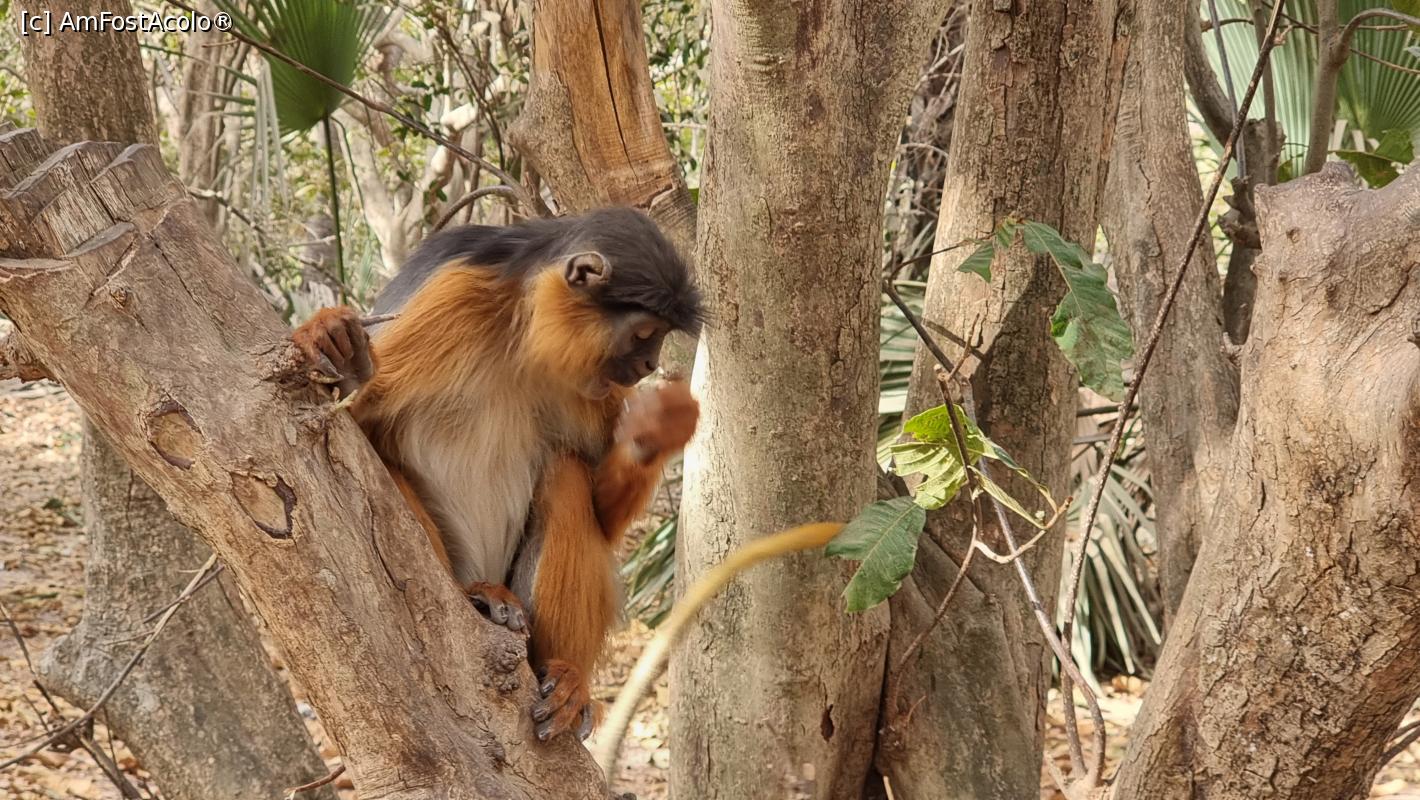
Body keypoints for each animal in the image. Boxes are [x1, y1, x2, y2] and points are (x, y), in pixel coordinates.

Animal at [290, 207, 702, 741]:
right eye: (644, 334)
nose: (650, 364)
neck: (522, 336)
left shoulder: (592, 382)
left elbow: (603, 516)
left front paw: (659, 429)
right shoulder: (454, 296)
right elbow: (353, 432)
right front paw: (337, 355)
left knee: (565, 475)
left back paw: (565, 673)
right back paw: (477, 597)